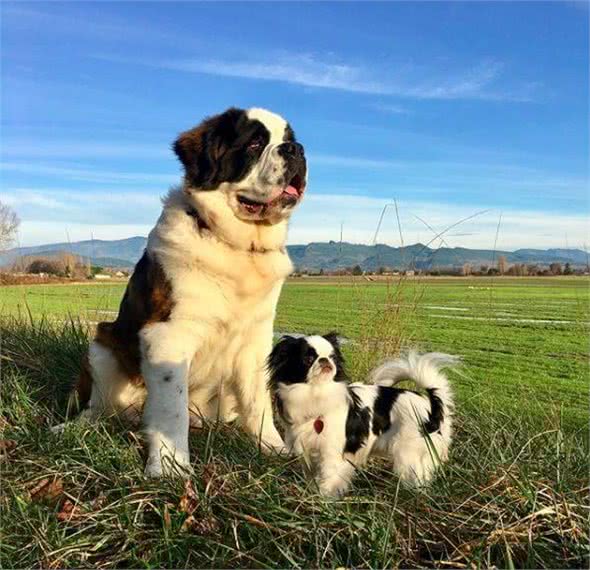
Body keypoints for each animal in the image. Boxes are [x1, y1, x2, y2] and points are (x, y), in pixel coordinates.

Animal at [73, 106, 308, 474]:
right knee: (97, 407)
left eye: (288, 139)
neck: (236, 246)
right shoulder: (167, 336)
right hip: (101, 345)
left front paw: (272, 448)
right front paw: (171, 466)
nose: (296, 150)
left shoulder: (256, 341)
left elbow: (258, 402)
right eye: (255, 143)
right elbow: (171, 410)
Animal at [268, 330, 458, 494]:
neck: (316, 392)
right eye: (308, 358)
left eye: (332, 357)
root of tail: (432, 406)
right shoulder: (309, 455)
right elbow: (313, 480)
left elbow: (328, 482)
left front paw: (324, 501)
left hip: (408, 455)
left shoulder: (331, 455)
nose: (325, 361)